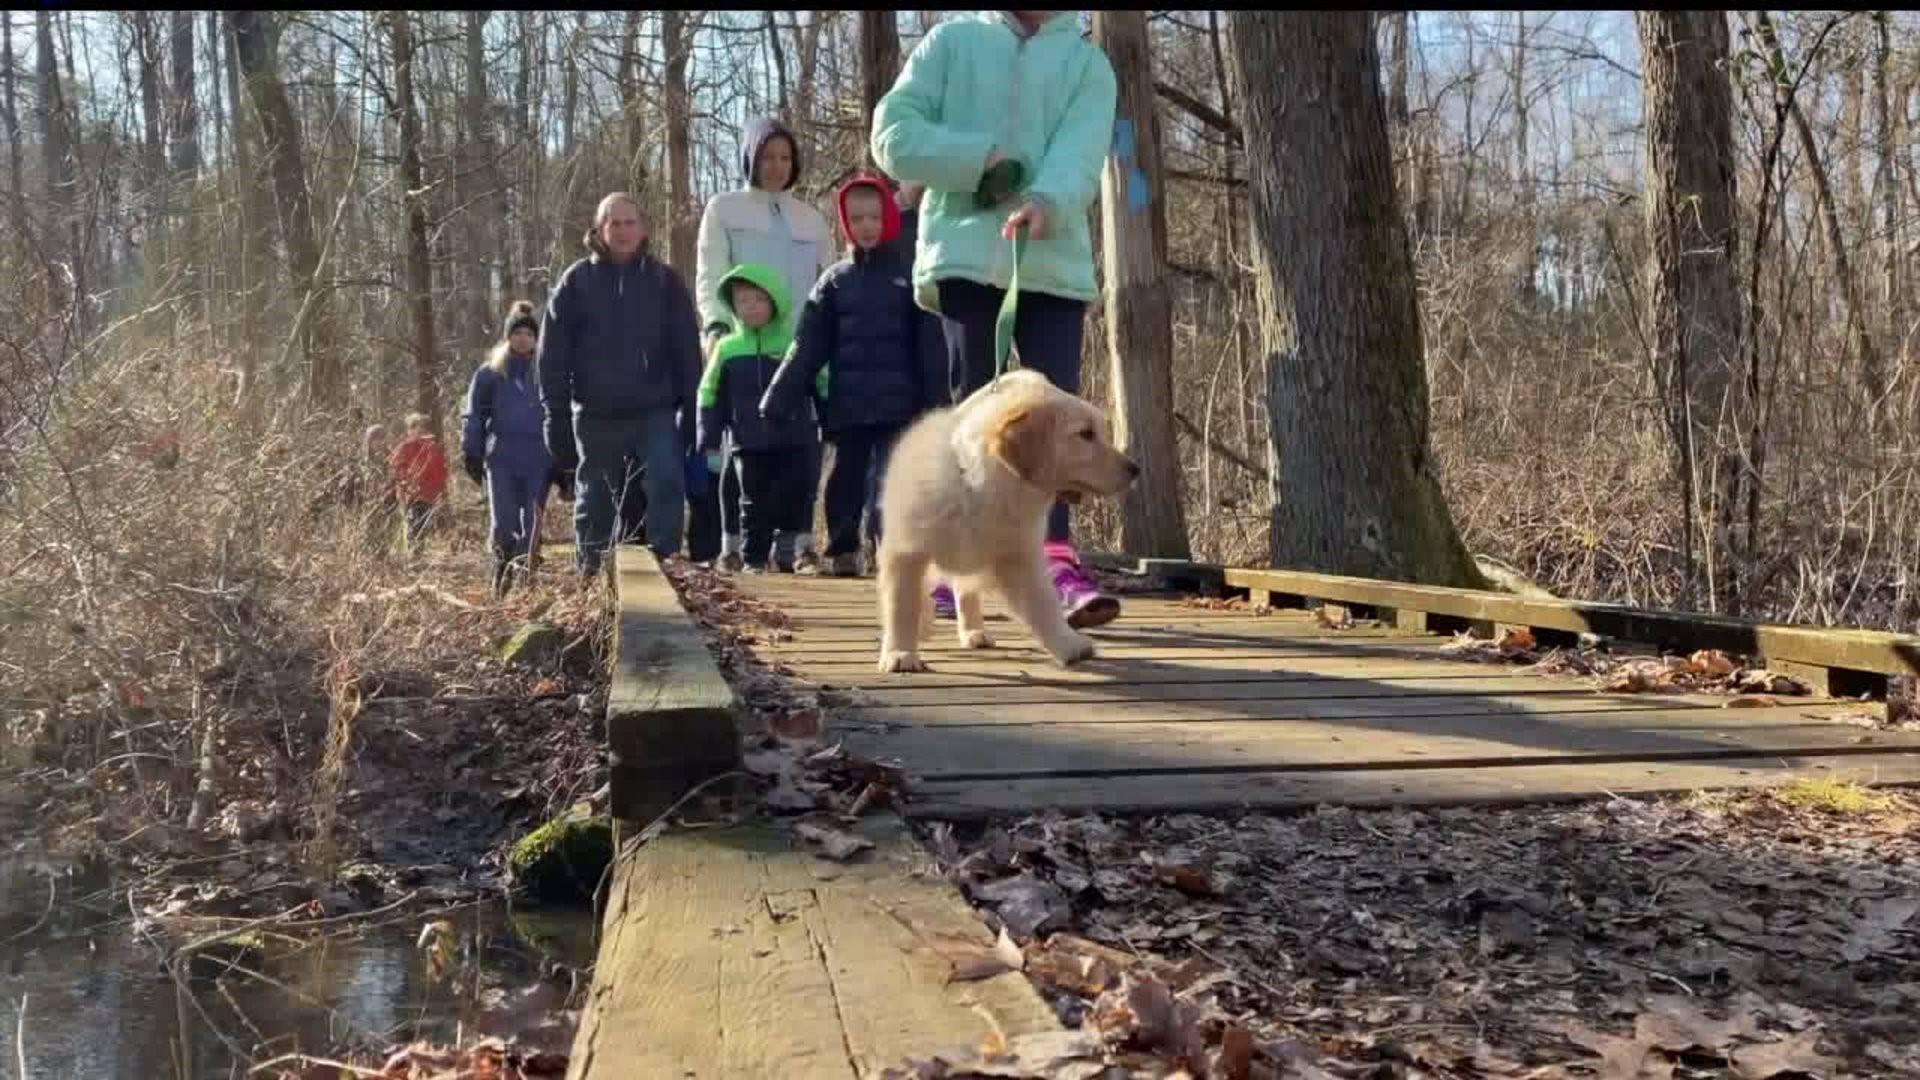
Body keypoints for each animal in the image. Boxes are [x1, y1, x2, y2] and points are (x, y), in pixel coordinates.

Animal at [875, 372, 1128, 672]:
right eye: (1086, 434)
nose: (1135, 469)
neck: (980, 489)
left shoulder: (1018, 559)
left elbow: (1043, 605)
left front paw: (1068, 644)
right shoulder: (906, 552)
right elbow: (902, 604)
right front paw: (900, 652)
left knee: (965, 591)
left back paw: (974, 631)